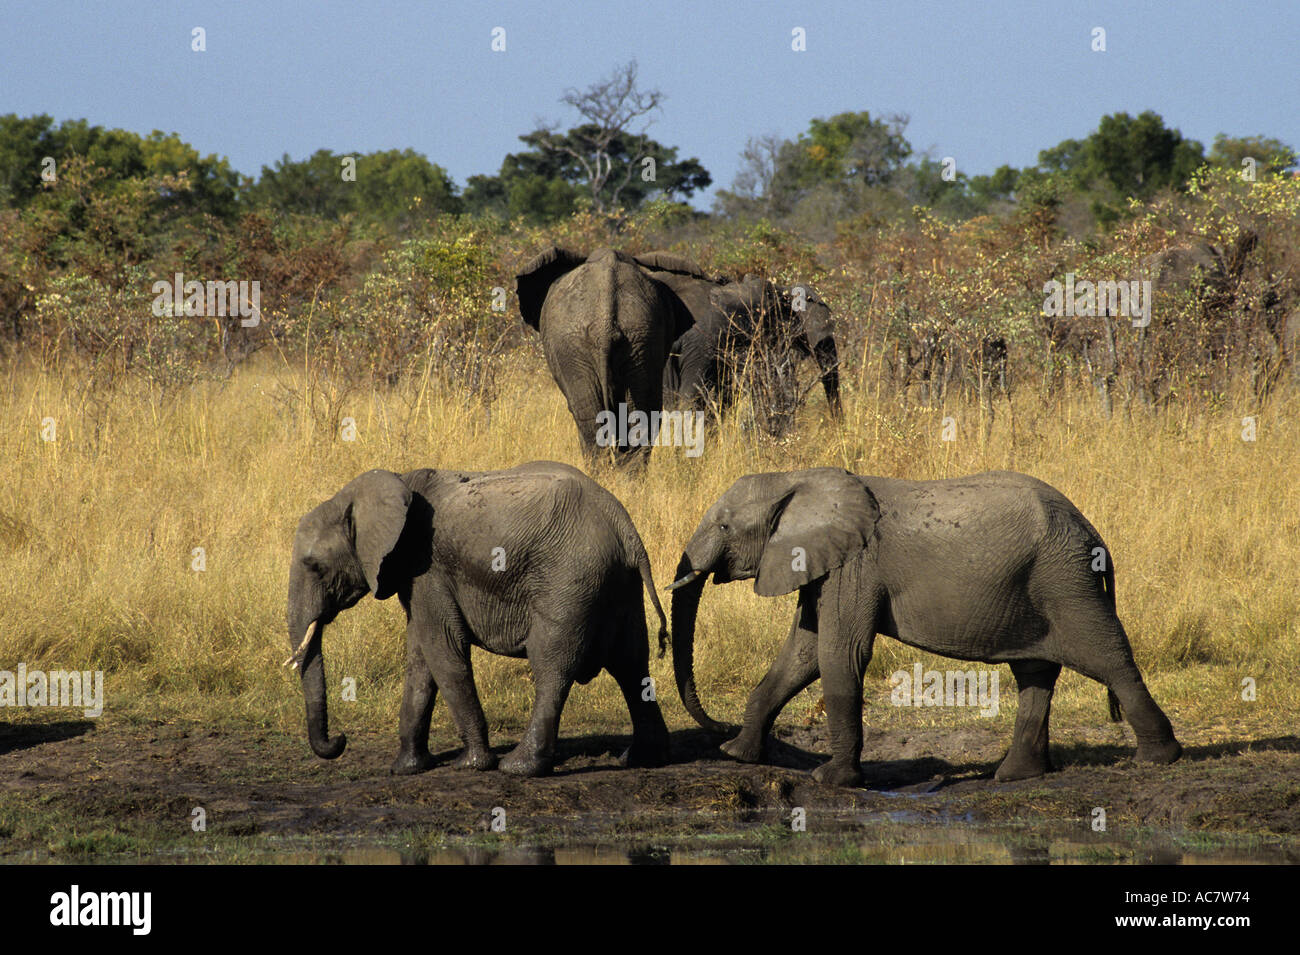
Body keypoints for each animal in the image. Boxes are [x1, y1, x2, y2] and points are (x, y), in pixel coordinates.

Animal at [284, 460, 671, 777]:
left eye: (314, 566)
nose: (340, 740)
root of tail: (626, 529)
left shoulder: (427, 569)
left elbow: (444, 651)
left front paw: (470, 764)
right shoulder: (417, 578)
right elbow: (421, 657)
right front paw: (405, 769)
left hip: (570, 580)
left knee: (552, 665)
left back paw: (519, 768)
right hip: (619, 584)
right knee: (632, 663)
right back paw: (641, 758)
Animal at [667, 468, 1182, 787]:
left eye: (725, 527)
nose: (717, 726)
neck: (797, 479)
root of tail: (1095, 535)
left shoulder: (855, 566)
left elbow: (839, 654)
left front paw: (832, 781)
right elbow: (802, 654)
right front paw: (737, 753)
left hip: (1066, 582)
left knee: (1108, 657)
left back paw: (1160, 758)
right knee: (1036, 673)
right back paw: (1016, 775)